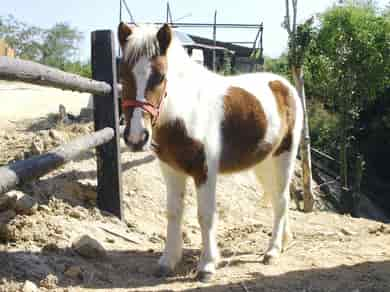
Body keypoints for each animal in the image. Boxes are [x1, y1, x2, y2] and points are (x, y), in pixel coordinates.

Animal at [117, 21, 304, 282]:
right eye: (123, 75)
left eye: (161, 77)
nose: (136, 138)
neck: (187, 112)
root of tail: (283, 85)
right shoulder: (171, 170)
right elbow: (173, 212)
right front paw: (167, 261)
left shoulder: (205, 171)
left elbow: (205, 215)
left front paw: (207, 265)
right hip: (263, 164)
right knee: (278, 198)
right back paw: (284, 241)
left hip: (284, 157)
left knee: (282, 200)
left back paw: (272, 251)